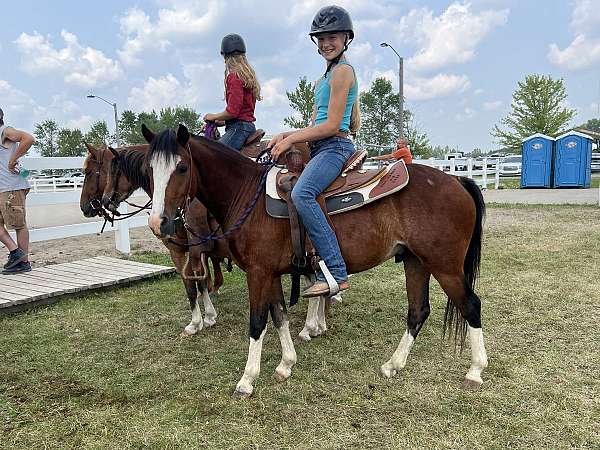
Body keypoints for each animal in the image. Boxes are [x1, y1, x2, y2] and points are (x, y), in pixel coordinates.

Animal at [78, 143, 221, 334]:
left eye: (88, 172)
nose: (84, 207)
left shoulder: (181, 250)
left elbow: (192, 284)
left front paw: (196, 322)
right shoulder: (192, 249)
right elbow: (201, 282)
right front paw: (209, 317)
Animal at [144, 124, 488, 398]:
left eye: (182, 168)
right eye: (149, 170)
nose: (158, 223)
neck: (246, 195)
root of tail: (458, 182)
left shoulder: (257, 272)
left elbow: (257, 322)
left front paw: (247, 380)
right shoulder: (271, 273)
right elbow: (279, 315)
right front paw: (286, 365)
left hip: (444, 267)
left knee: (470, 305)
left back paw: (475, 371)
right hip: (415, 261)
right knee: (418, 311)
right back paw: (393, 364)